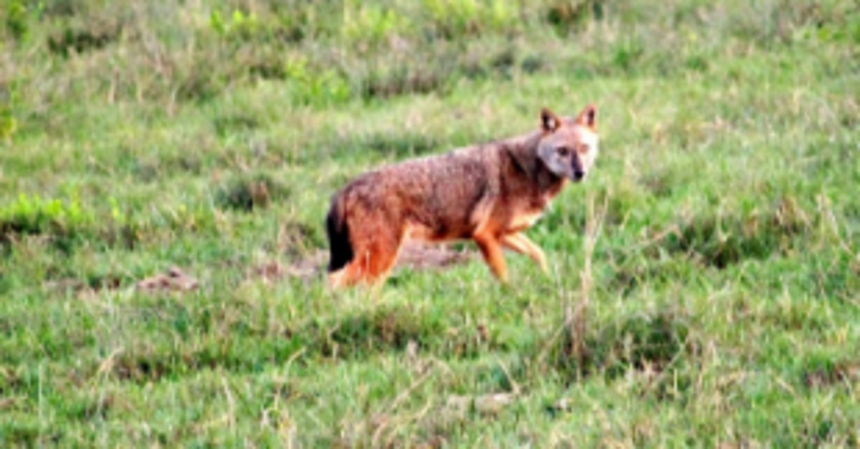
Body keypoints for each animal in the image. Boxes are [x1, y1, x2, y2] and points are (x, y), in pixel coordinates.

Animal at [325, 104, 599, 288]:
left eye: (584, 148)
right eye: (563, 151)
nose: (580, 172)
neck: (528, 169)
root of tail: (346, 188)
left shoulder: (505, 234)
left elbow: (539, 254)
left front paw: (547, 279)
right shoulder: (485, 235)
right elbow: (504, 276)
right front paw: (511, 295)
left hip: (379, 263)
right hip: (379, 258)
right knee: (334, 281)